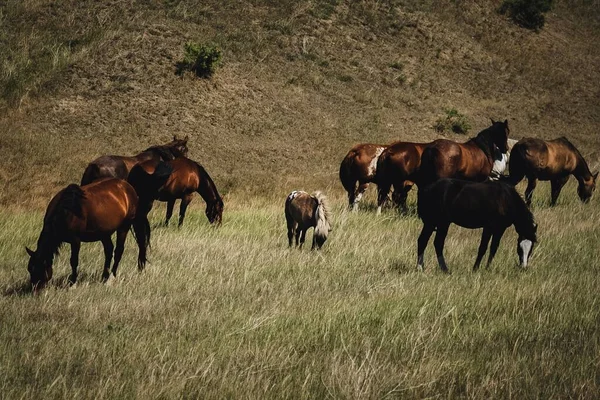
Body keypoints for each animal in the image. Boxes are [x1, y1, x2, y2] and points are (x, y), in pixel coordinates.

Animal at [26, 178, 154, 290]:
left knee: (118, 251)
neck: (67, 211)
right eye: (30, 269)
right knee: (109, 250)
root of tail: (128, 187)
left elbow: (74, 261)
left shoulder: (75, 240)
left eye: (40, 269)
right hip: (104, 233)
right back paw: (104, 277)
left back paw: (111, 278)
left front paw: (72, 284)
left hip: (124, 227)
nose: (34, 289)